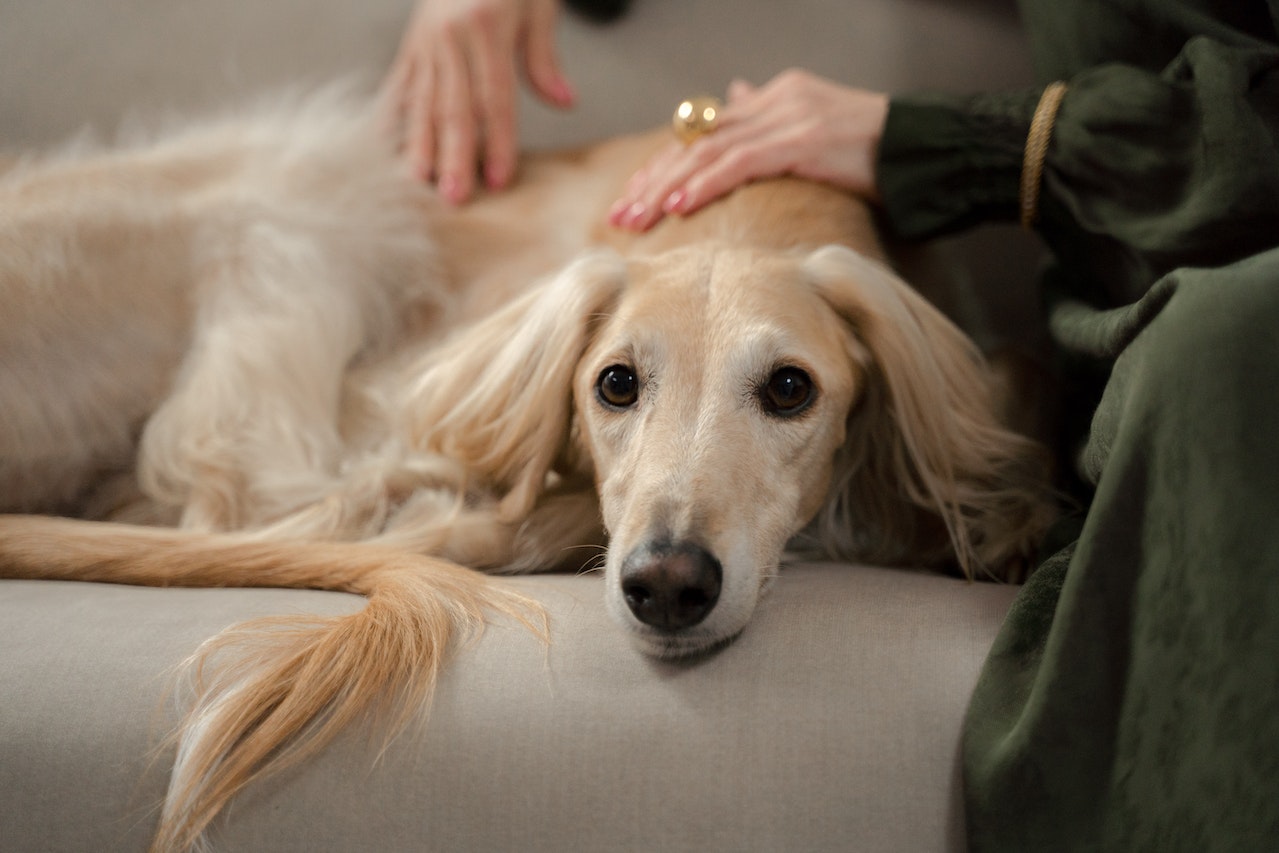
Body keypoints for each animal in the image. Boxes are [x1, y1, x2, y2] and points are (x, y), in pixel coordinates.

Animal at [0, 90, 1053, 849]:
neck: (741, 212)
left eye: (791, 389)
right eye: (614, 383)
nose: (666, 586)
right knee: (246, 492)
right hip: (304, 196)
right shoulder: (414, 390)